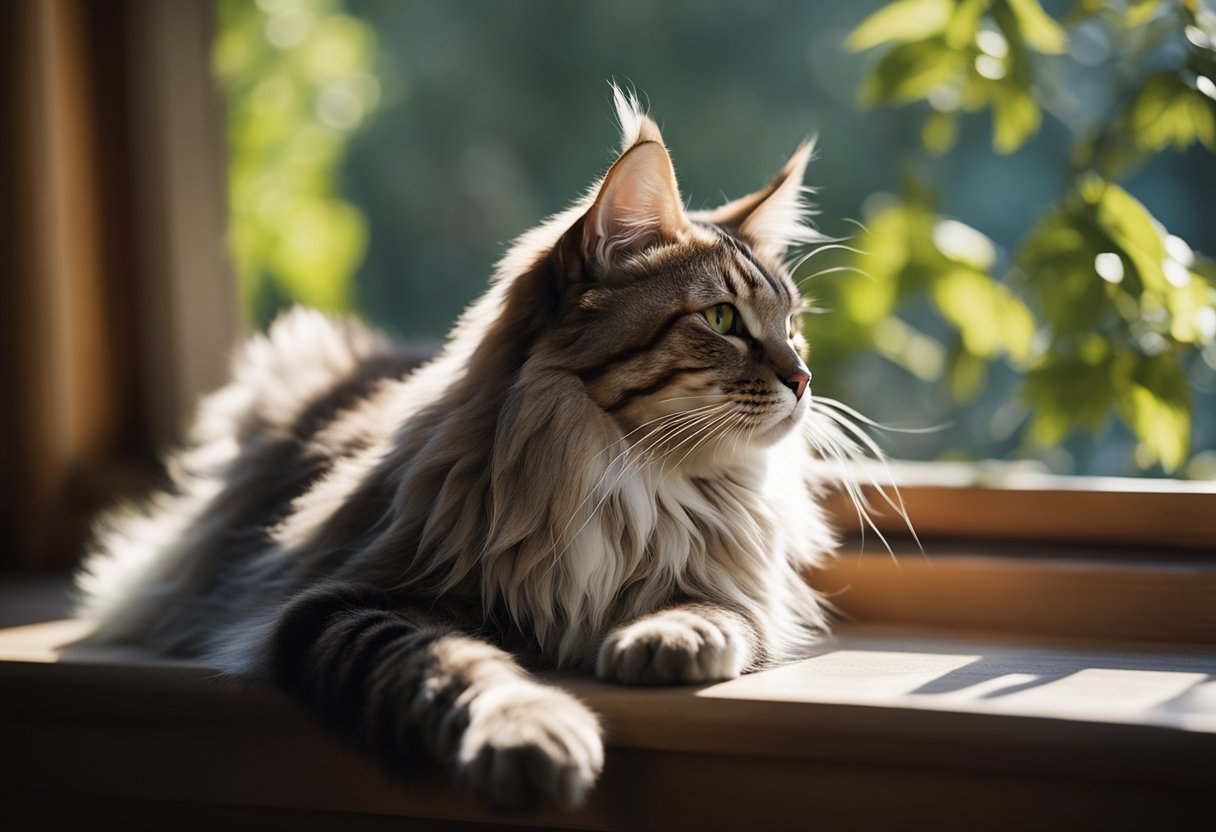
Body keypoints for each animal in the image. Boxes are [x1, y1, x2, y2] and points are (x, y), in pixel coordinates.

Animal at [73, 89, 875, 812]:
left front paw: (668, 638)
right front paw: (530, 734)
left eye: (793, 326)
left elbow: (716, 608)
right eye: (722, 319)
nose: (803, 379)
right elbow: (461, 666)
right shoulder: (343, 602)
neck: (630, 475)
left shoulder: (742, 584)